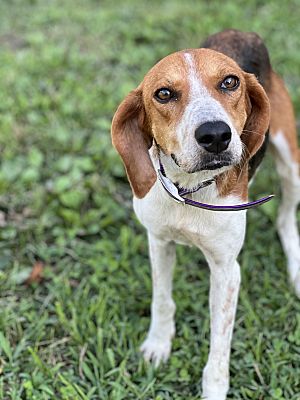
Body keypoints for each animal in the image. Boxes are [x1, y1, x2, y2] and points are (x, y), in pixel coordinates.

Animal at [110, 30, 300, 400]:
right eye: (163, 93)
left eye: (230, 82)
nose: (215, 135)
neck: (190, 191)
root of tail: (242, 32)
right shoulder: (158, 241)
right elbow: (162, 299)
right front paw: (158, 344)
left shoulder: (227, 272)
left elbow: (219, 346)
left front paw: (214, 389)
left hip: (291, 164)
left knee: (286, 218)